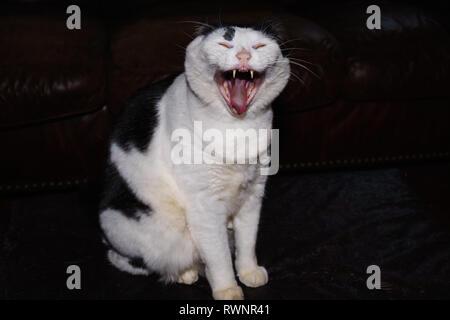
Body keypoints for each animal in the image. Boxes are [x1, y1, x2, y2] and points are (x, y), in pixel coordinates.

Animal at [98, 22, 290, 300]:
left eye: (259, 45)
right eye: (225, 43)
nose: (244, 56)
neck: (237, 129)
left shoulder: (253, 194)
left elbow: (247, 241)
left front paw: (248, 272)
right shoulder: (205, 206)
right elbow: (219, 255)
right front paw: (227, 289)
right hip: (142, 228)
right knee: (126, 259)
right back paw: (183, 273)